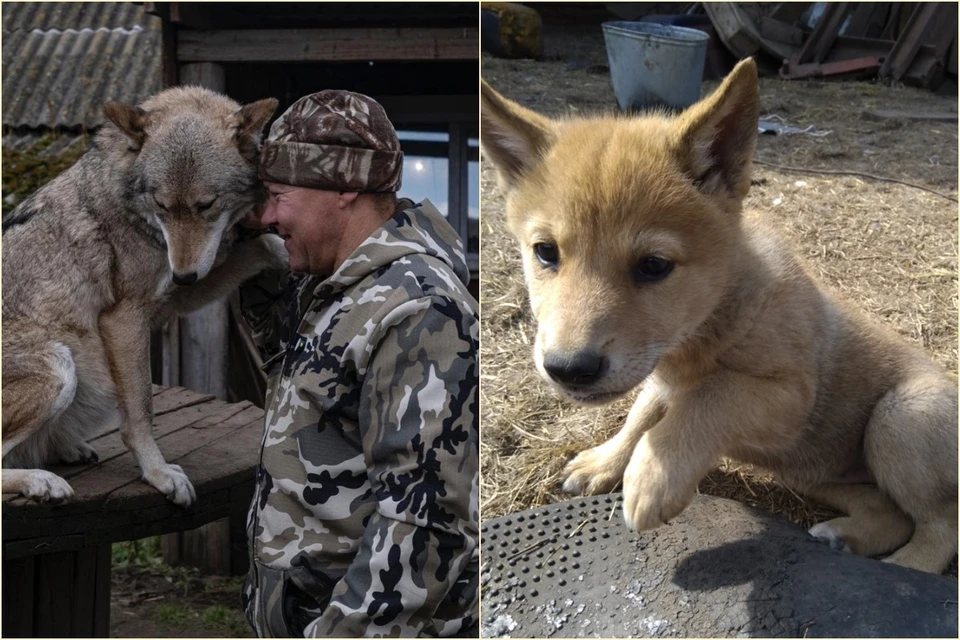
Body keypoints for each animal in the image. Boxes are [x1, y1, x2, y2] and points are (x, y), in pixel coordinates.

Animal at [1, 86, 284, 504]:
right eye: (162, 205)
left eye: (206, 205)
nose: (184, 275)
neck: (131, 204)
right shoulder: (125, 319)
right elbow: (141, 410)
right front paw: (158, 472)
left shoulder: (173, 298)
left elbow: (265, 244)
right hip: (60, 367)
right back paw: (40, 480)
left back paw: (65, 450)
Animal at [484, 57, 956, 572]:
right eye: (546, 252)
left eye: (654, 265)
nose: (568, 369)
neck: (712, 317)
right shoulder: (660, 379)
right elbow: (641, 415)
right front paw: (604, 462)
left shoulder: (789, 394)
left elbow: (710, 397)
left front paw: (653, 476)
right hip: (812, 473)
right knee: (890, 512)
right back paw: (845, 536)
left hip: (900, 419)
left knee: (939, 527)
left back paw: (906, 570)